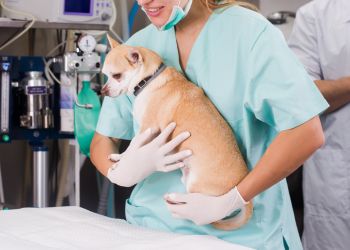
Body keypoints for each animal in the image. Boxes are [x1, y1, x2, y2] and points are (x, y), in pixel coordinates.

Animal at [102, 35, 253, 230]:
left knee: (209, 214)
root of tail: (240, 189)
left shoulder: (147, 129)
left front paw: (123, 160)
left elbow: (133, 147)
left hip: (198, 188)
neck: (149, 80)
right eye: (105, 75)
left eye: (117, 76)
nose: (103, 90)